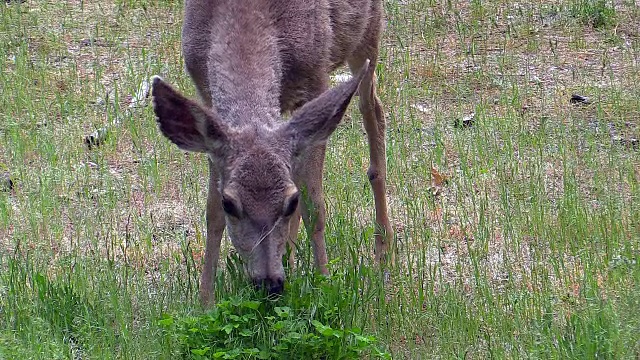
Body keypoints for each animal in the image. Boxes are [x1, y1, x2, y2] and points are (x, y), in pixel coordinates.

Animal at [151, 0, 390, 306]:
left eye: (290, 202)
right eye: (230, 204)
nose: (269, 284)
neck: (246, 19)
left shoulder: (317, 78)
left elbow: (315, 205)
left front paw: (325, 286)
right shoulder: (206, 95)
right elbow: (211, 213)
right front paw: (205, 301)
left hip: (368, 31)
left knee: (373, 109)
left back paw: (383, 252)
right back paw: (290, 256)